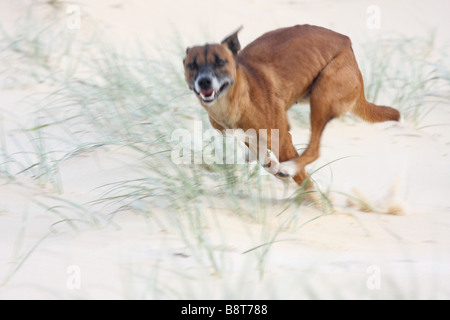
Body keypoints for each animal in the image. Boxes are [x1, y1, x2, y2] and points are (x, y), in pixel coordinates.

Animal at [183, 25, 400, 188]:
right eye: (192, 65)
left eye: (220, 62)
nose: (204, 82)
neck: (236, 97)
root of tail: (347, 43)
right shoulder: (250, 136)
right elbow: (262, 156)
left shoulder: (282, 140)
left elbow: (305, 184)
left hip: (322, 97)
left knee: (313, 150)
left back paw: (289, 168)